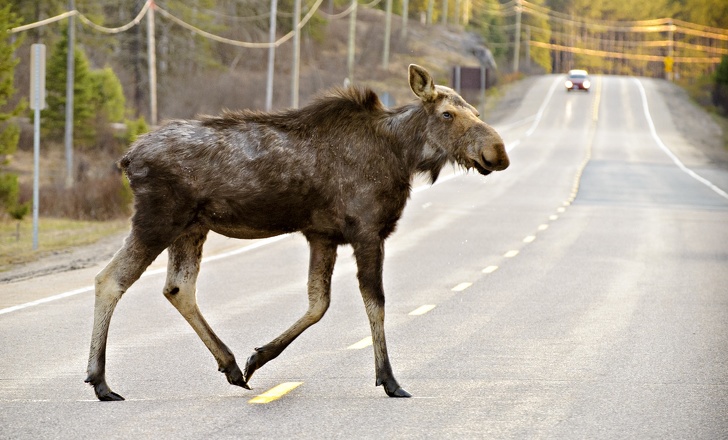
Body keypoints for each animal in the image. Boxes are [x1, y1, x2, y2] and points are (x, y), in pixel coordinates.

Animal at [85, 62, 510, 402]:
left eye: (474, 110)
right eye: (447, 114)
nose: (497, 152)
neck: (403, 156)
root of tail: (127, 158)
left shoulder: (322, 234)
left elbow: (318, 304)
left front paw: (257, 358)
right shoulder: (367, 231)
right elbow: (375, 302)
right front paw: (389, 380)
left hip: (191, 227)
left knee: (178, 288)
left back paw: (231, 365)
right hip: (158, 219)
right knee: (110, 279)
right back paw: (101, 381)